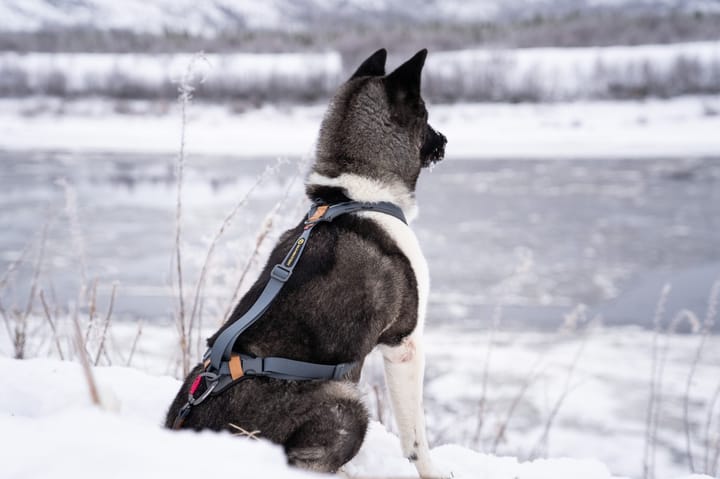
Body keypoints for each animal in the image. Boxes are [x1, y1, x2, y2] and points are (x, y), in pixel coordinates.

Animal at [166, 47, 448, 478]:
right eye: (427, 116)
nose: (446, 140)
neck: (355, 194)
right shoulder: (404, 344)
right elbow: (416, 439)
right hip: (345, 401)